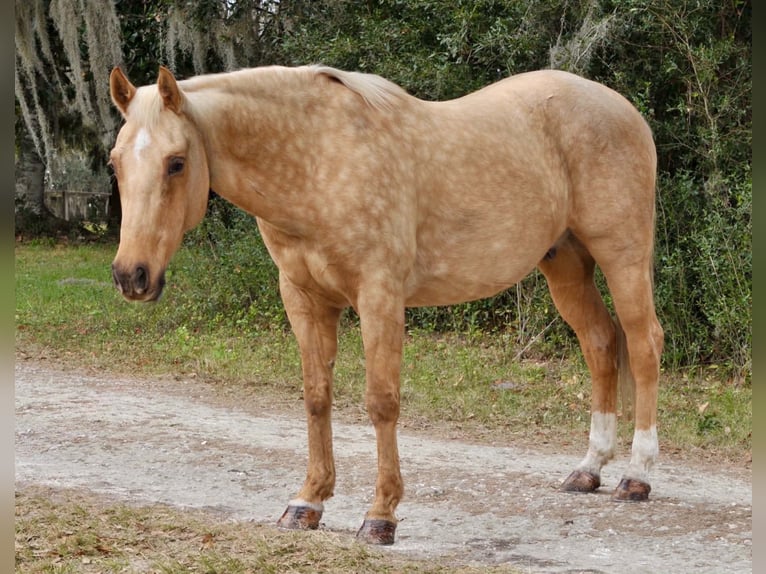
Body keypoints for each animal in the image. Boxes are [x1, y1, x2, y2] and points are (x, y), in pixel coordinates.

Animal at [108, 64, 663, 545]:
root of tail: (623, 108)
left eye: (176, 162)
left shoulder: (378, 296)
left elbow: (381, 403)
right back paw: (588, 469)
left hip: (623, 256)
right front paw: (307, 502)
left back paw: (636, 476)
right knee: (600, 344)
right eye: (115, 163)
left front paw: (380, 516)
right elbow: (316, 398)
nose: (132, 276)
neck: (317, 162)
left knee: (642, 346)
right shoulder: (304, 299)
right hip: (565, 264)